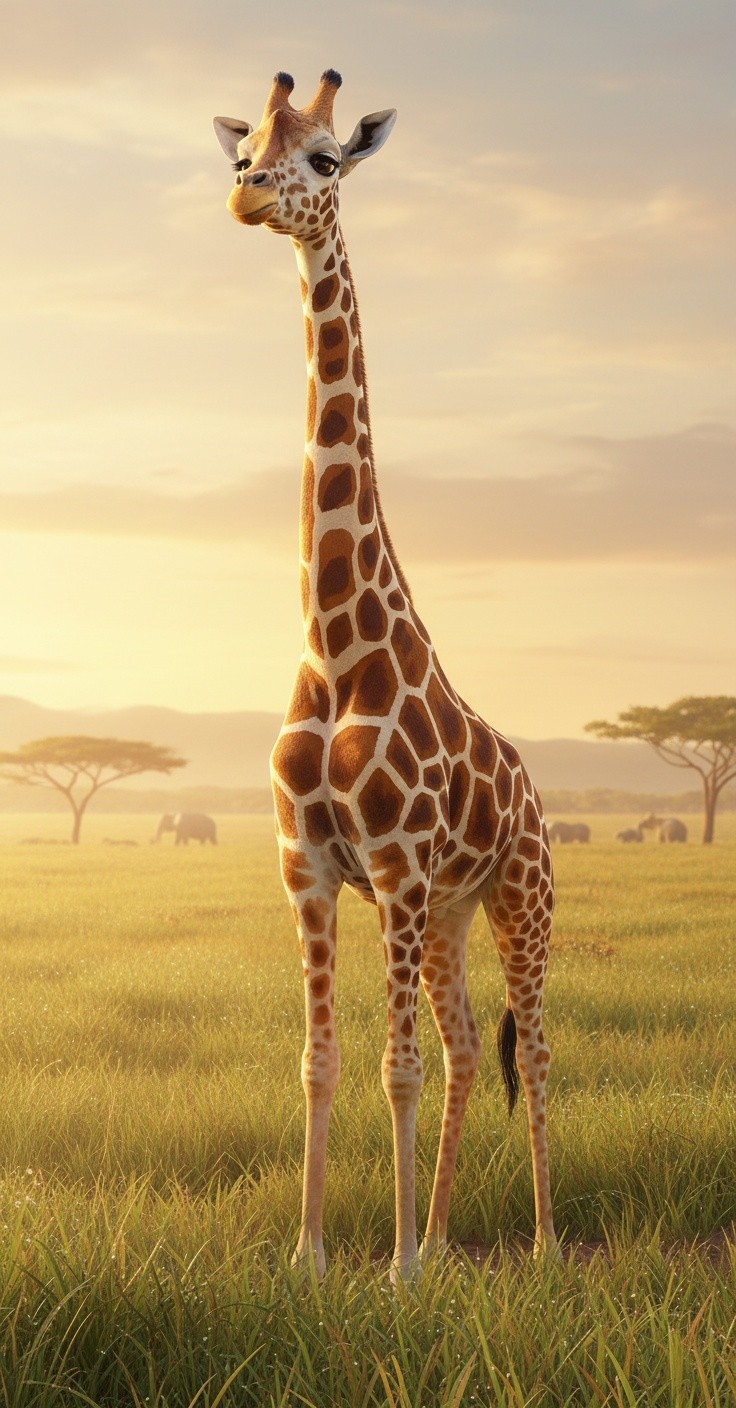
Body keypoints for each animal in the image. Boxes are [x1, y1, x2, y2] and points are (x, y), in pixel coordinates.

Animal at [214, 70, 558, 1281]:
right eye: (244, 151)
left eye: (324, 160)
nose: (246, 197)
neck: (335, 646)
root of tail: (535, 788)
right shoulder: (308, 869)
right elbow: (322, 1062)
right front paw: (315, 1258)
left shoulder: (399, 872)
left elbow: (391, 1068)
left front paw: (397, 1271)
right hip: (455, 912)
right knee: (463, 1048)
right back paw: (452, 1237)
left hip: (517, 894)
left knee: (531, 1050)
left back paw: (539, 1246)